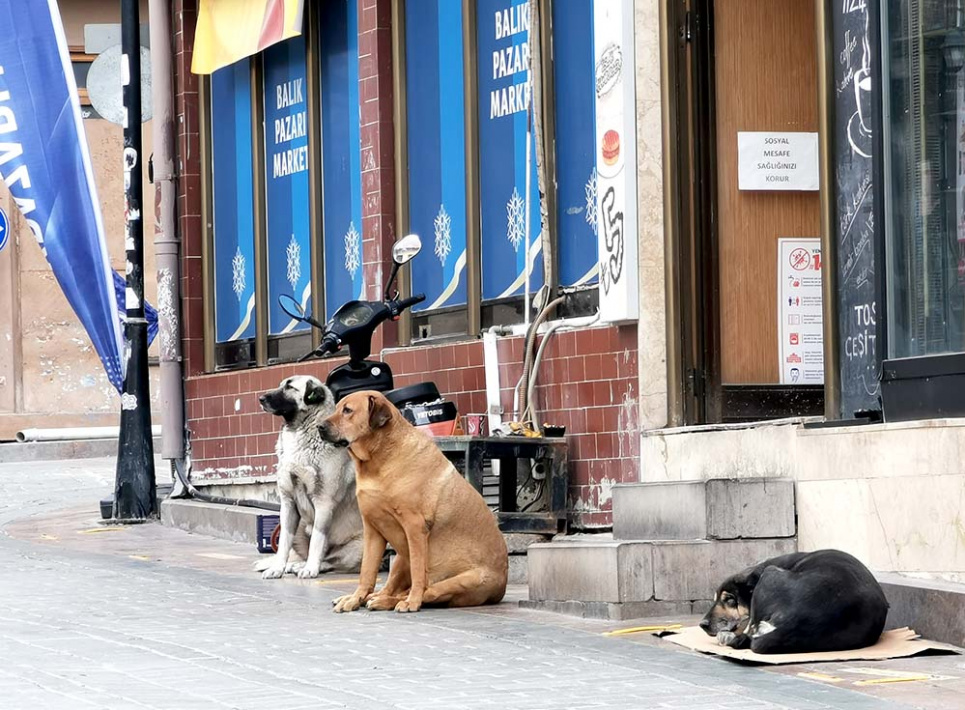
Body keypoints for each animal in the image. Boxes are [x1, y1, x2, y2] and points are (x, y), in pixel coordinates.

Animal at [320, 392, 508, 616]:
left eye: (347, 410)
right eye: (337, 408)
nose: (319, 427)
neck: (377, 462)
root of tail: (501, 589)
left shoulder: (415, 527)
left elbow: (419, 572)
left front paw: (412, 602)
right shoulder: (372, 529)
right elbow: (366, 572)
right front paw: (355, 598)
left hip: (462, 580)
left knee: (426, 592)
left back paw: (395, 600)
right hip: (401, 557)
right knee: (391, 588)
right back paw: (370, 597)